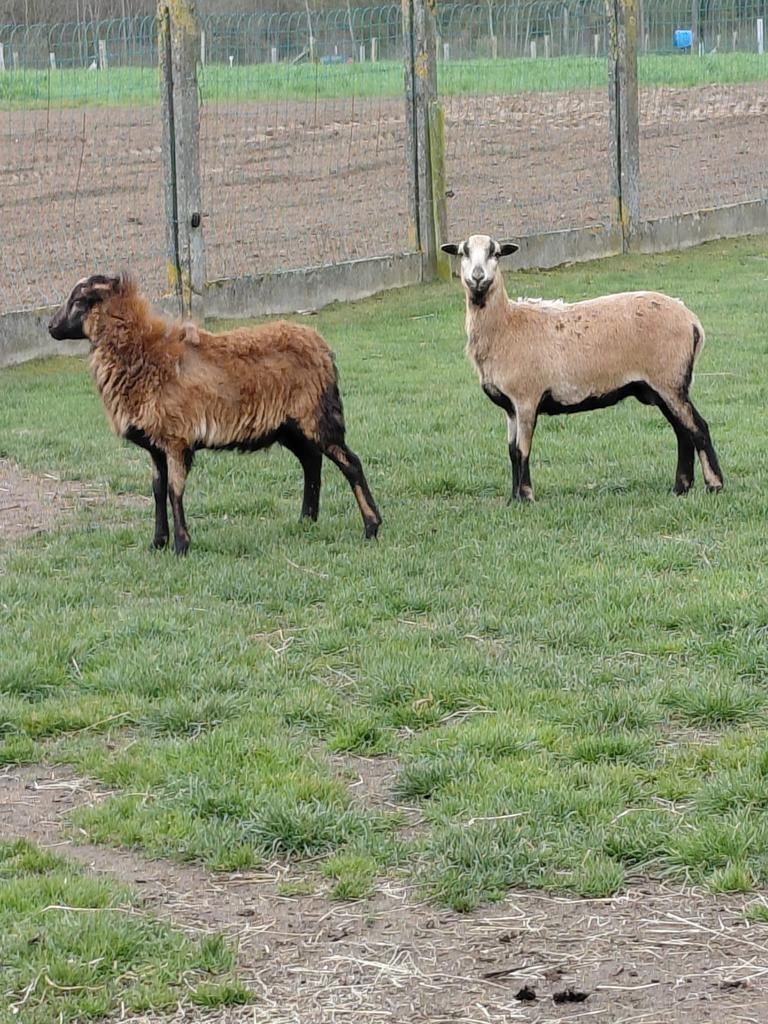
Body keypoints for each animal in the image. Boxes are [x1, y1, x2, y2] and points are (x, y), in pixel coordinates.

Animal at [48, 273, 381, 554]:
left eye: (78, 301)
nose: (50, 327)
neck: (142, 354)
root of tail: (323, 347)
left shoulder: (176, 439)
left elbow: (174, 490)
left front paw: (181, 546)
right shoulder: (156, 446)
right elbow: (157, 490)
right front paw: (157, 543)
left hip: (316, 416)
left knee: (351, 463)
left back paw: (371, 527)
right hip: (289, 426)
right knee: (312, 462)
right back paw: (306, 520)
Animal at [441, 234, 724, 501]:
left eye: (496, 253)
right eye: (463, 252)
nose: (478, 277)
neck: (507, 325)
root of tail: (692, 321)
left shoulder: (526, 399)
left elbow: (522, 450)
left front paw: (527, 498)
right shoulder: (510, 408)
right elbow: (511, 451)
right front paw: (513, 499)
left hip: (670, 380)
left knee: (698, 428)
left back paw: (714, 486)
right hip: (660, 387)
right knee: (682, 432)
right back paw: (680, 488)